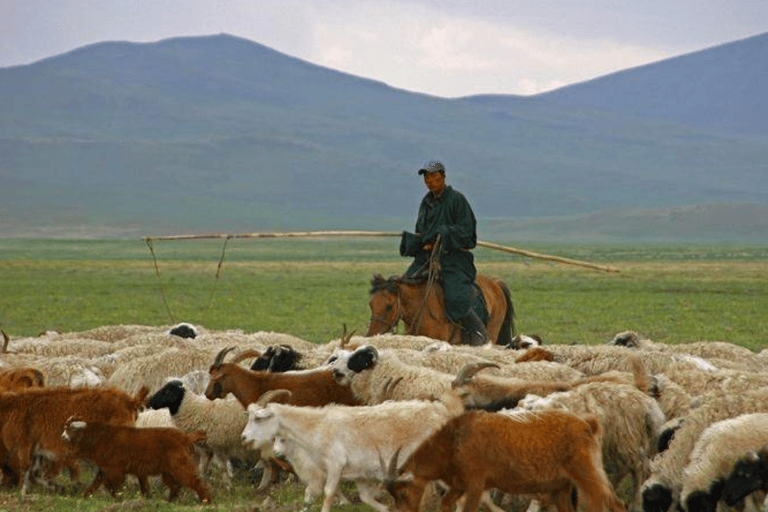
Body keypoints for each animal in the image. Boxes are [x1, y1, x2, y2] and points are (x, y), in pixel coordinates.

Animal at [61, 416, 212, 504]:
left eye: (69, 429)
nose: (62, 436)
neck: (101, 438)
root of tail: (186, 437)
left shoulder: (116, 468)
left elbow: (109, 485)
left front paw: (119, 498)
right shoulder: (105, 469)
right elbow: (94, 485)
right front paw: (84, 497)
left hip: (178, 465)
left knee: (195, 481)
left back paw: (206, 500)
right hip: (168, 470)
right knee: (174, 486)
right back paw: (168, 501)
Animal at [382, 408, 624, 512]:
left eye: (403, 493)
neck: (454, 440)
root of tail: (587, 423)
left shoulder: (475, 485)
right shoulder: (459, 485)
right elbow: (445, 503)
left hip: (587, 473)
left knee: (607, 502)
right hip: (560, 488)